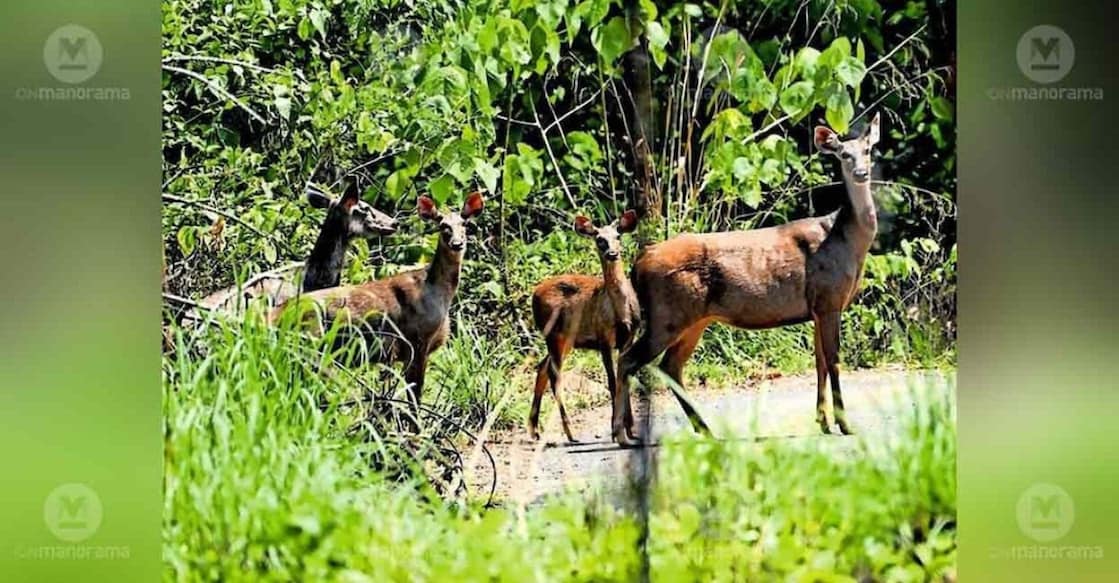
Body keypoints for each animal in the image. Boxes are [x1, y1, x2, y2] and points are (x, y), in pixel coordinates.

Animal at [271, 192, 484, 405]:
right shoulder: (416, 341)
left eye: (465, 224)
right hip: (311, 342)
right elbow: (413, 403)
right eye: (443, 225)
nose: (457, 244)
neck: (436, 292)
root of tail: (274, 316)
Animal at [528, 210, 641, 443]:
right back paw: (570, 433)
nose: (612, 253)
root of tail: (534, 293)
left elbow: (624, 379)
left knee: (542, 367)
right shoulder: (603, 338)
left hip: (566, 340)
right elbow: (613, 382)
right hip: (553, 334)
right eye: (600, 240)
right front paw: (616, 432)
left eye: (618, 236)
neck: (620, 313)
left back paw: (535, 430)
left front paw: (631, 430)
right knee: (555, 375)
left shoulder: (628, 338)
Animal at [612, 114, 882, 447]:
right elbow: (833, 360)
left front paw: (823, 422)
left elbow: (818, 361)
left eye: (868, 150)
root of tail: (638, 264)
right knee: (629, 360)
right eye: (844, 154)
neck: (846, 240)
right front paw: (845, 424)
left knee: (669, 366)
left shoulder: (818, 308)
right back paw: (622, 434)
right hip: (668, 314)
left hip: (693, 318)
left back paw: (702, 429)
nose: (860, 173)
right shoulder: (829, 299)